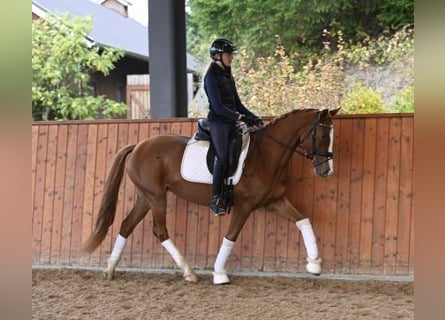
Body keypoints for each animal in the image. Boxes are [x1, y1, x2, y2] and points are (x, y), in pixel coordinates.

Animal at [83, 108, 338, 284]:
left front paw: (314, 265)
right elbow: (231, 237)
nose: (326, 171)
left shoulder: (275, 201)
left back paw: (110, 270)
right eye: (322, 136)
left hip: (146, 197)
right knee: (160, 231)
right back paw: (189, 273)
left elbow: (303, 220)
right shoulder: (244, 206)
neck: (265, 156)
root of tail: (138, 146)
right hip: (156, 197)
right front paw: (219, 273)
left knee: (127, 225)